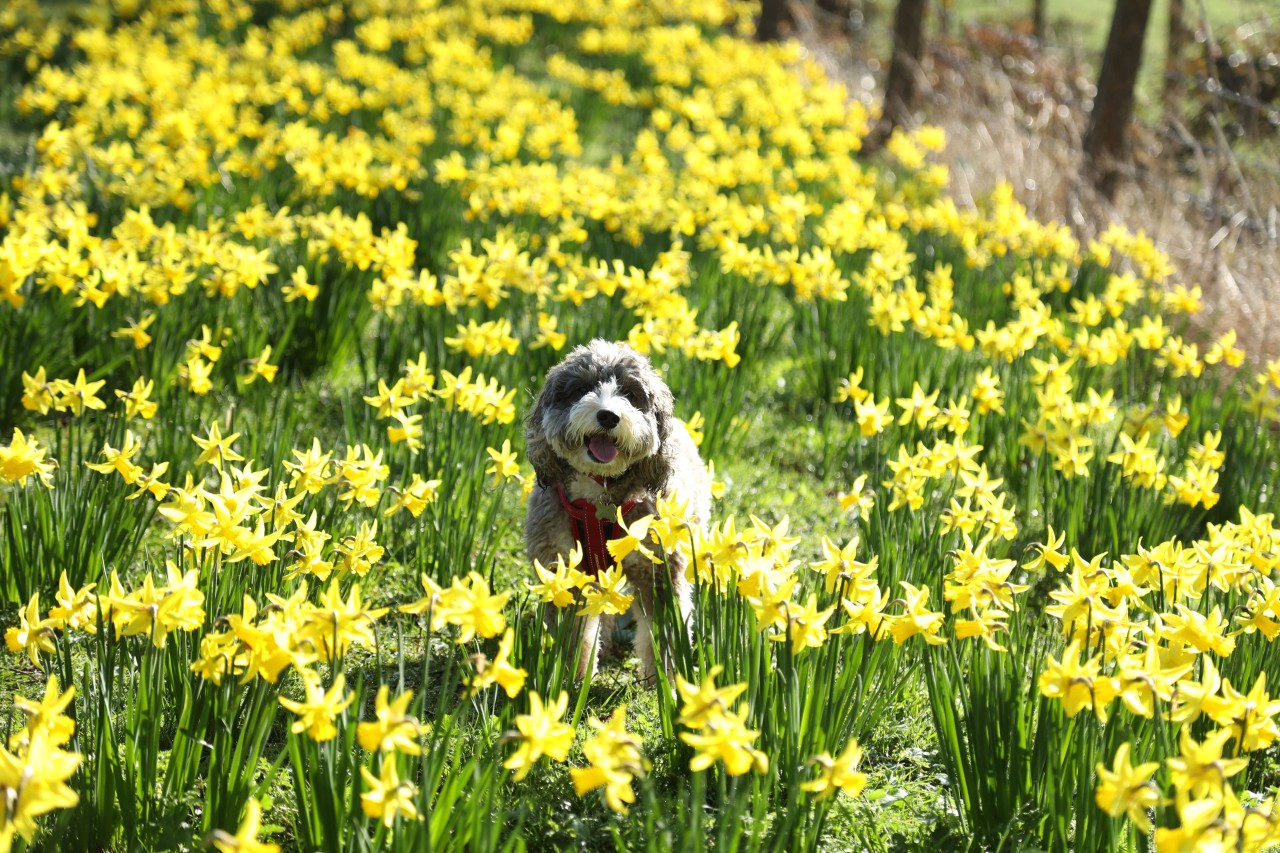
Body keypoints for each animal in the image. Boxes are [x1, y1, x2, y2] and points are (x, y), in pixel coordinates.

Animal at [524, 338, 716, 686]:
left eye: (630, 393)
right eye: (583, 388)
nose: (609, 416)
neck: (601, 497)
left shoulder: (660, 573)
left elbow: (663, 635)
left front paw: (664, 683)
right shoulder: (564, 572)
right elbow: (574, 633)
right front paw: (571, 678)